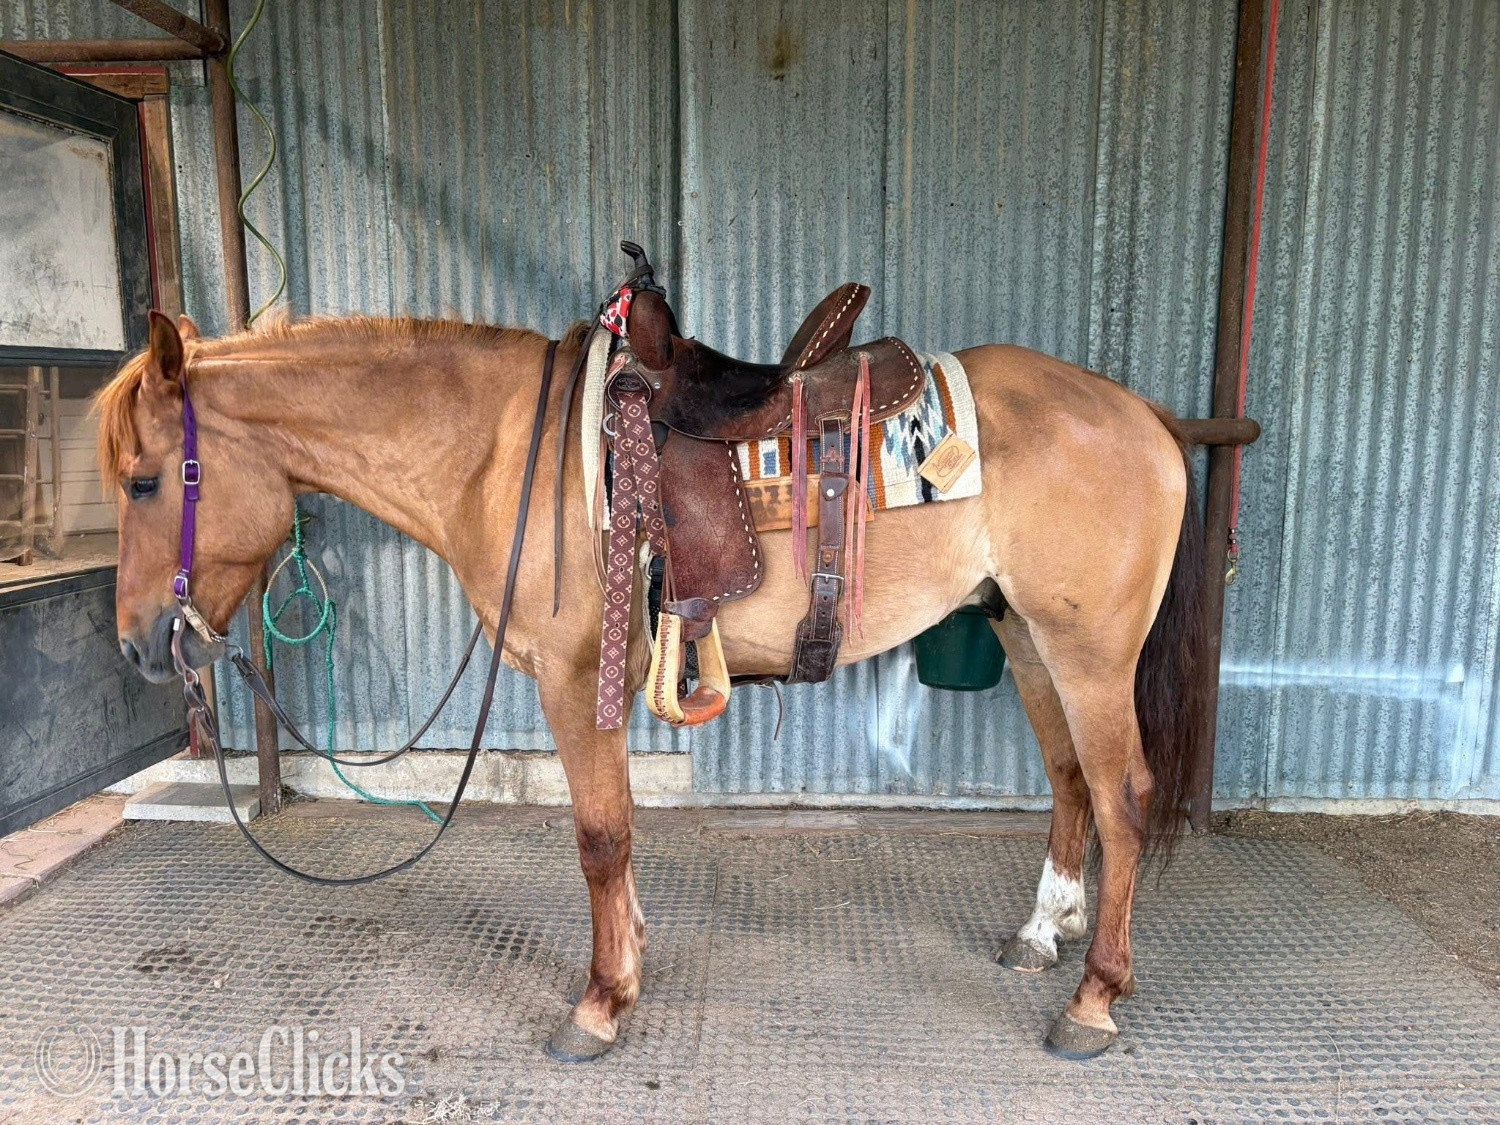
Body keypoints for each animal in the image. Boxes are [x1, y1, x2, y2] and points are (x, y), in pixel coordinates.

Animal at [98, 304, 1205, 1062]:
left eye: (145, 480)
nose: (143, 646)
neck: (504, 454)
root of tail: (1143, 413)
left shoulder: (571, 680)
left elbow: (598, 838)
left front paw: (599, 1002)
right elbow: (621, 833)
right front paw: (629, 957)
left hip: (1089, 653)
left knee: (1122, 797)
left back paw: (1095, 998)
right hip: (1028, 638)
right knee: (1069, 784)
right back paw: (1043, 934)